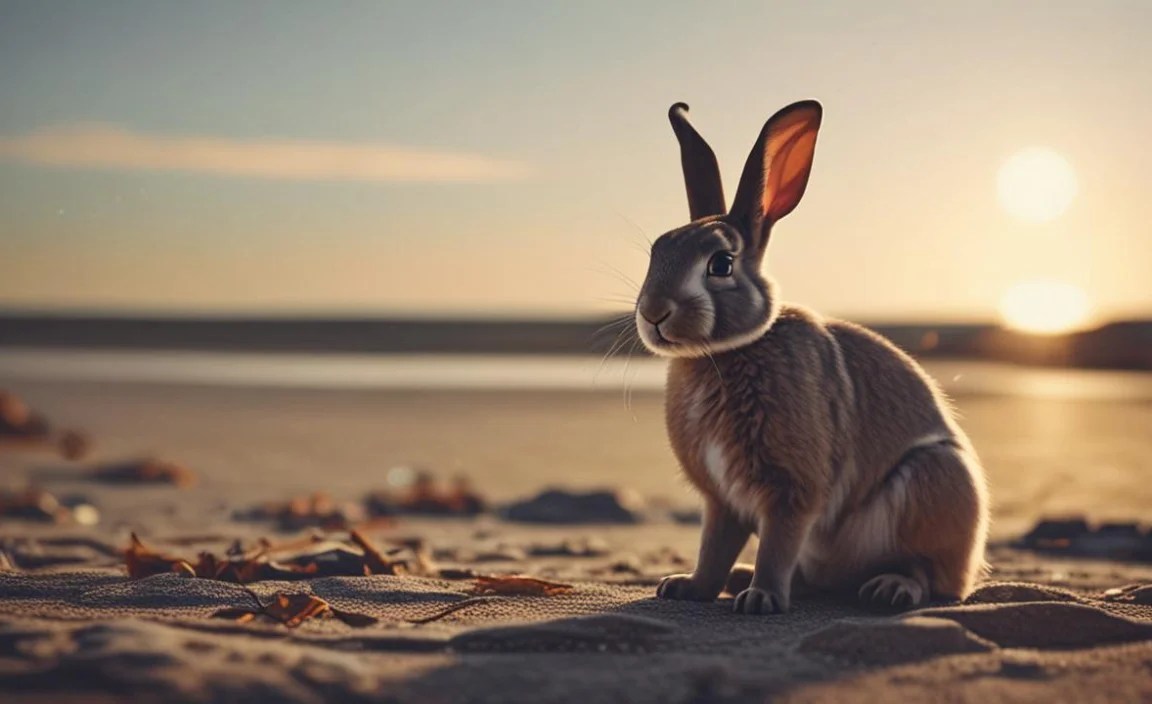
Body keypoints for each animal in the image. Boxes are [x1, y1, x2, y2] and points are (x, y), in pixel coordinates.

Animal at [637, 101, 989, 615]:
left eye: (720, 264)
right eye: (656, 250)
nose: (653, 313)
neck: (724, 353)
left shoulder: (791, 492)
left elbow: (778, 544)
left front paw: (761, 599)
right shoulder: (722, 499)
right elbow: (714, 548)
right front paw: (689, 587)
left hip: (933, 483)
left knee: (927, 573)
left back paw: (890, 589)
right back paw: (742, 581)